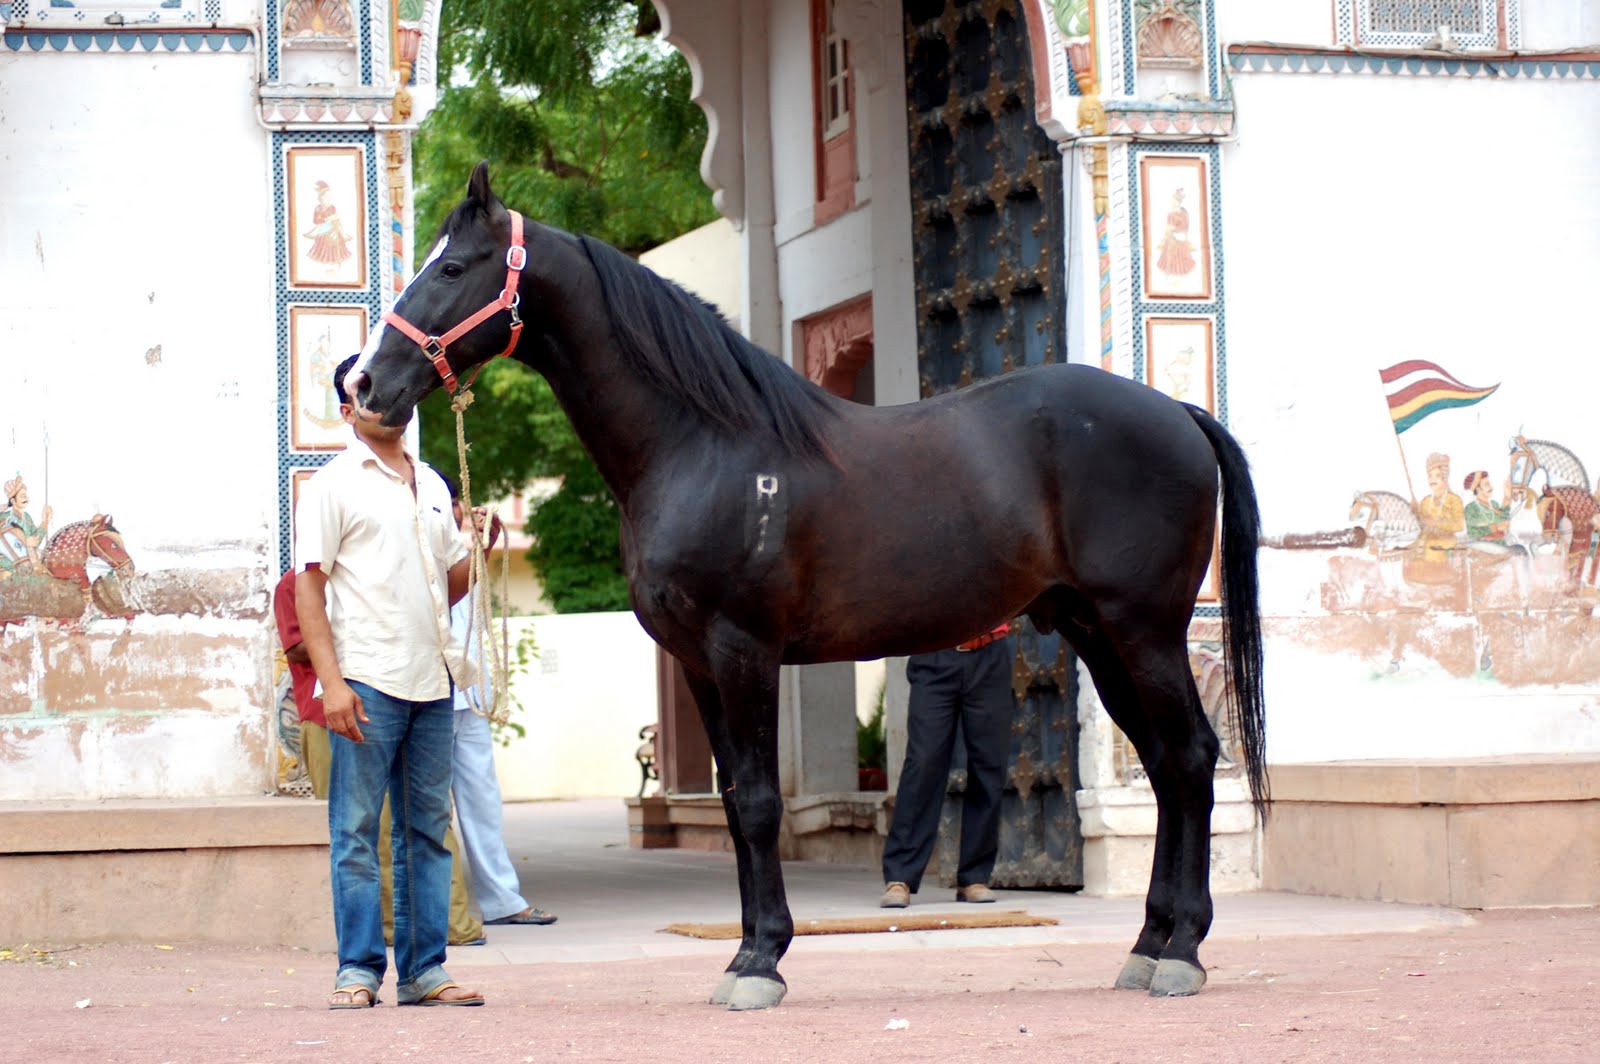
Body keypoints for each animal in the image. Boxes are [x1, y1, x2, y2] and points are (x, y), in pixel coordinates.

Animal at [348, 164, 1267, 1008]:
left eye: (452, 268)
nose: (361, 383)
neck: (704, 446)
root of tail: (1180, 413)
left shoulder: (743, 651)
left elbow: (758, 803)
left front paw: (760, 963)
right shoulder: (699, 665)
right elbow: (731, 801)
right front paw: (745, 951)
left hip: (1144, 630)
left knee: (1191, 757)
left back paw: (1183, 953)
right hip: (1096, 635)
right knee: (1165, 766)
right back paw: (1148, 946)